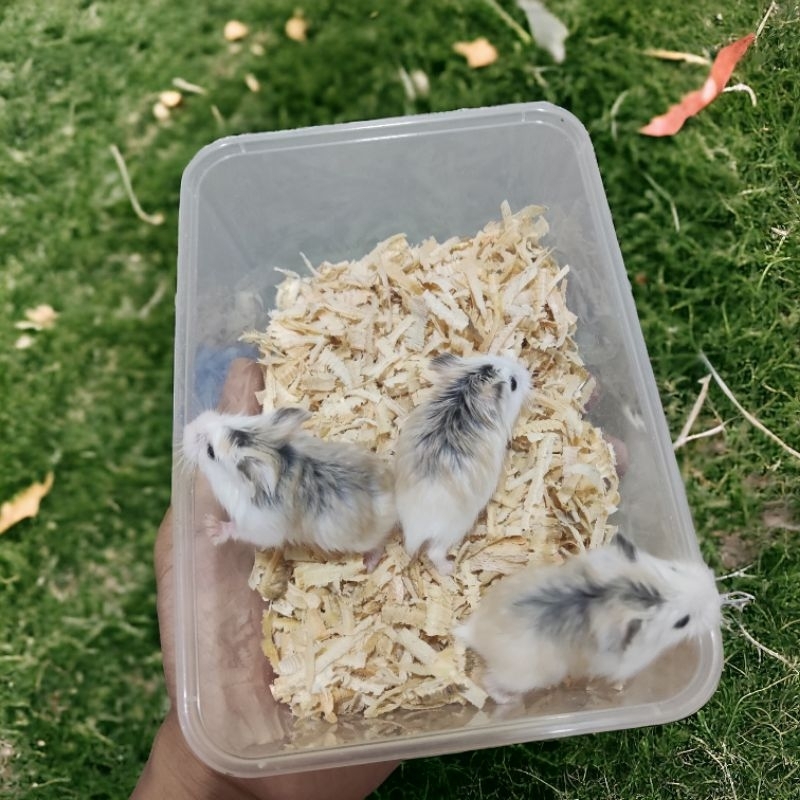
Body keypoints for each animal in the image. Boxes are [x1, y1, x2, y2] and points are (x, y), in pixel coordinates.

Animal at [182, 407, 397, 556]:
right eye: (229, 416)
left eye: (210, 451)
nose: (186, 428)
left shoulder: (258, 526)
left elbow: (237, 529)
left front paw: (210, 527)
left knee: (379, 545)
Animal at [394, 353, 531, 574]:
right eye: (513, 383)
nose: (527, 373)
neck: (467, 391)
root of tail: (415, 530)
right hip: (456, 528)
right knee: (434, 552)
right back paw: (450, 568)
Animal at [455, 534, 722, 703]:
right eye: (682, 622)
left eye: (673, 569)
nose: (716, 597)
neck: (620, 596)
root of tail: (472, 632)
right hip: (520, 676)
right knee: (490, 682)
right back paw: (508, 700)